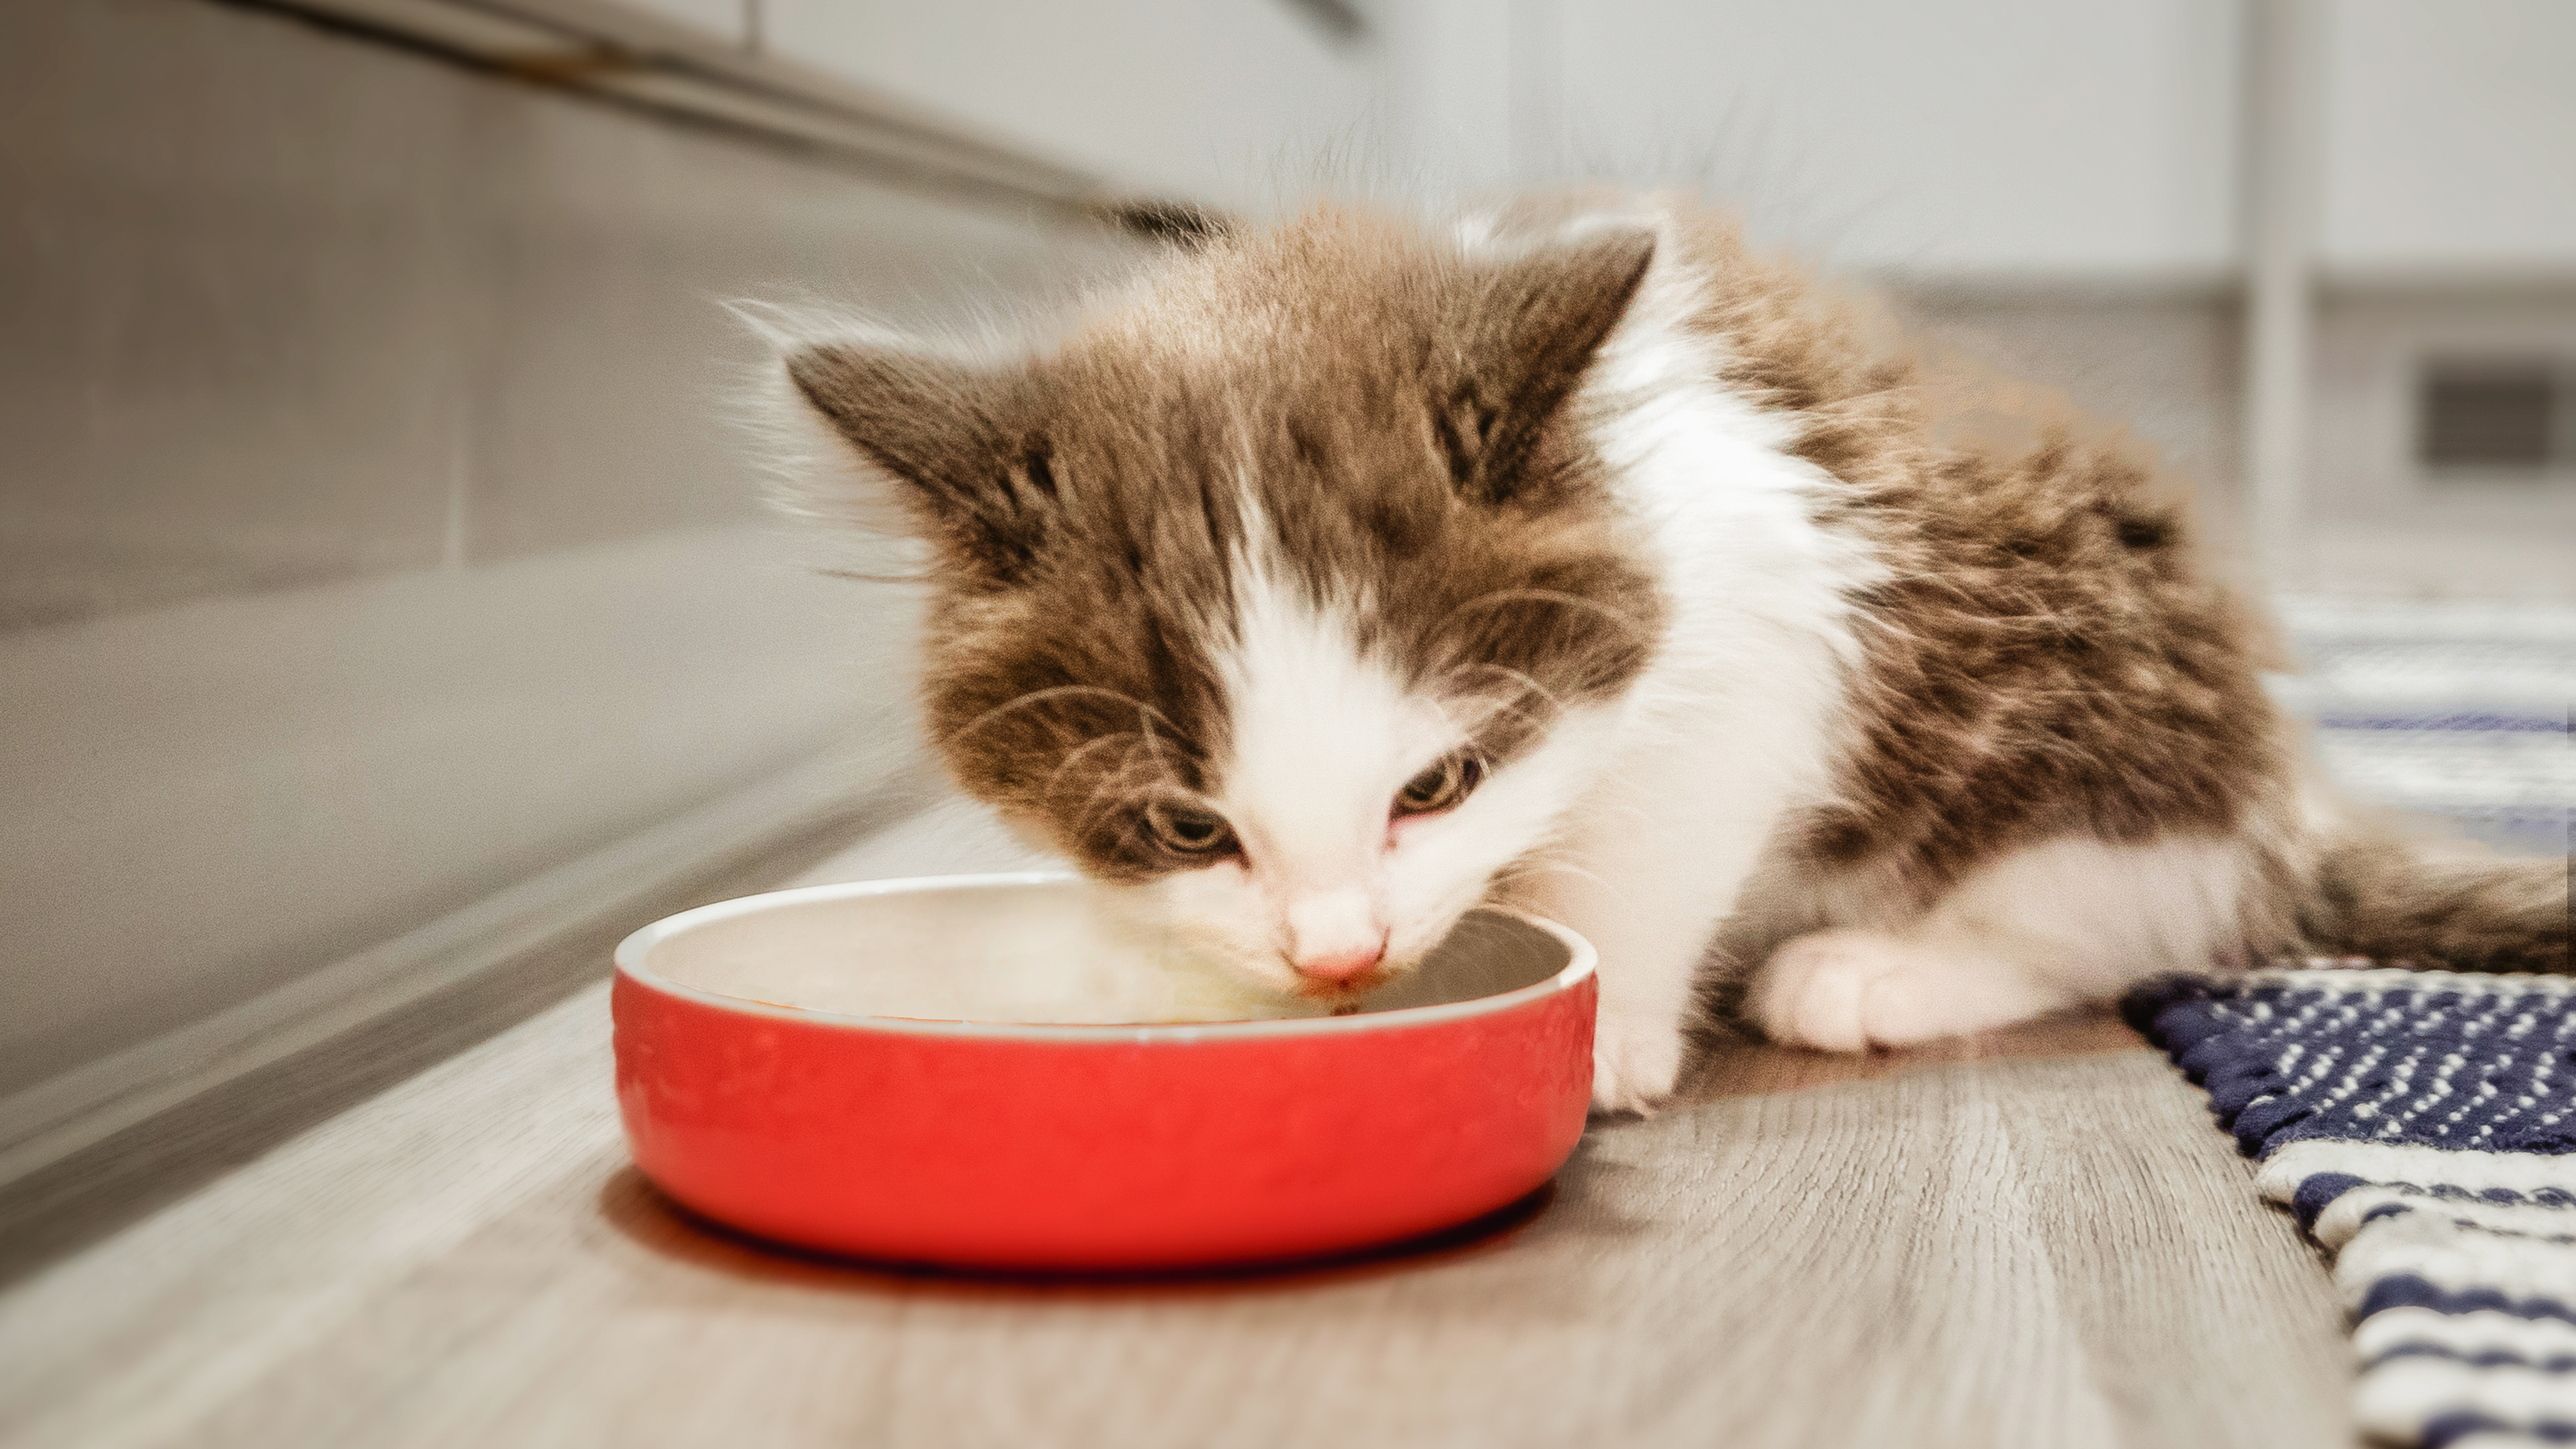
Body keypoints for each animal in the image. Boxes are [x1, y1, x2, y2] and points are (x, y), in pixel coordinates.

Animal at [752, 199, 2565, 1103]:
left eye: (1439, 784)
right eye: (1187, 826)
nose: (1341, 956)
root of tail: (2285, 789)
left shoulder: (1765, 611)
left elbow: (1658, 829)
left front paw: (1604, 1030)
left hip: (2080, 692)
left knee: (2126, 909)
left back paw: (1877, 970)